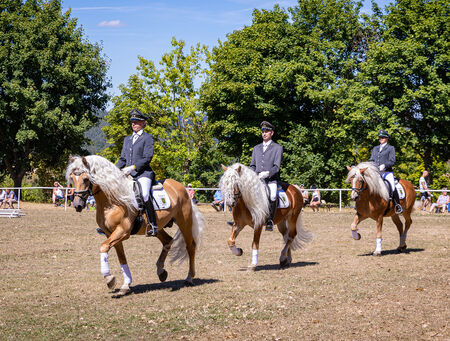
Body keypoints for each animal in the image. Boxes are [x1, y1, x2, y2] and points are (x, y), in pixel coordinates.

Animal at [66, 155, 203, 294]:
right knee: (168, 241)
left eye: (86, 179)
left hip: (184, 222)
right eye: (72, 178)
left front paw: (109, 279)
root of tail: (181, 187)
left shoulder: (123, 231)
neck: (111, 202)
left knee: (190, 246)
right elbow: (121, 257)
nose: (77, 205)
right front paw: (126, 284)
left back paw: (189, 278)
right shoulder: (111, 234)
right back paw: (161, 271)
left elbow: (103, 247)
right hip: (158, 226)